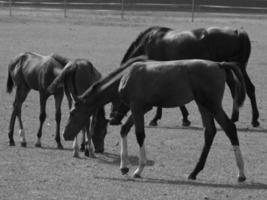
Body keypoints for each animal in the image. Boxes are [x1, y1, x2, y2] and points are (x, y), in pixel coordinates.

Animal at [60, 56, 247, 183]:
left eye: (73, 112)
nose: (65, 134)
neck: (127, 76)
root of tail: (219, 64)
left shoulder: (137, 108)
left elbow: (139, 135)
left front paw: (138, 170)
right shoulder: (141, 109)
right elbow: (124, 130)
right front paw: (124, 167)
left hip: (212, 104)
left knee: (230, 128)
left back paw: (241, 174)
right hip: (203, 105)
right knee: (210, 131)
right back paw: (194, 172)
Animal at [109, 26, 260, 126]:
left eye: (115, 99)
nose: (112, 120)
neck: (147, 44)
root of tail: (236, 32)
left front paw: (156, 119)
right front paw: (185, 118)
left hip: (235, 67)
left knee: (246, 88)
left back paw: (252, 119)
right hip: (232, 68)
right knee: (241, 88)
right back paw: (239, 117)